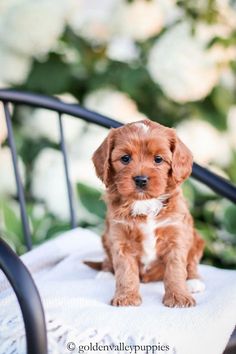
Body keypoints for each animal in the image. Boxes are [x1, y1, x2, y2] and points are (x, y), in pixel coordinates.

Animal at [90, 119, 205, 306]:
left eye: (158, 159)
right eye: (125, 158)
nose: (140, 180)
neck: (144, 203)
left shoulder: (177, 236)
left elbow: (176, 270)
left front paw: (179, 297)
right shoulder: (120, 238)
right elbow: (125, 272)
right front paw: (127, 297)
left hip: (197, 239)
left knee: (192, 262)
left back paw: (194, 280)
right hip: (106, 237)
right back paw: (106, 272)